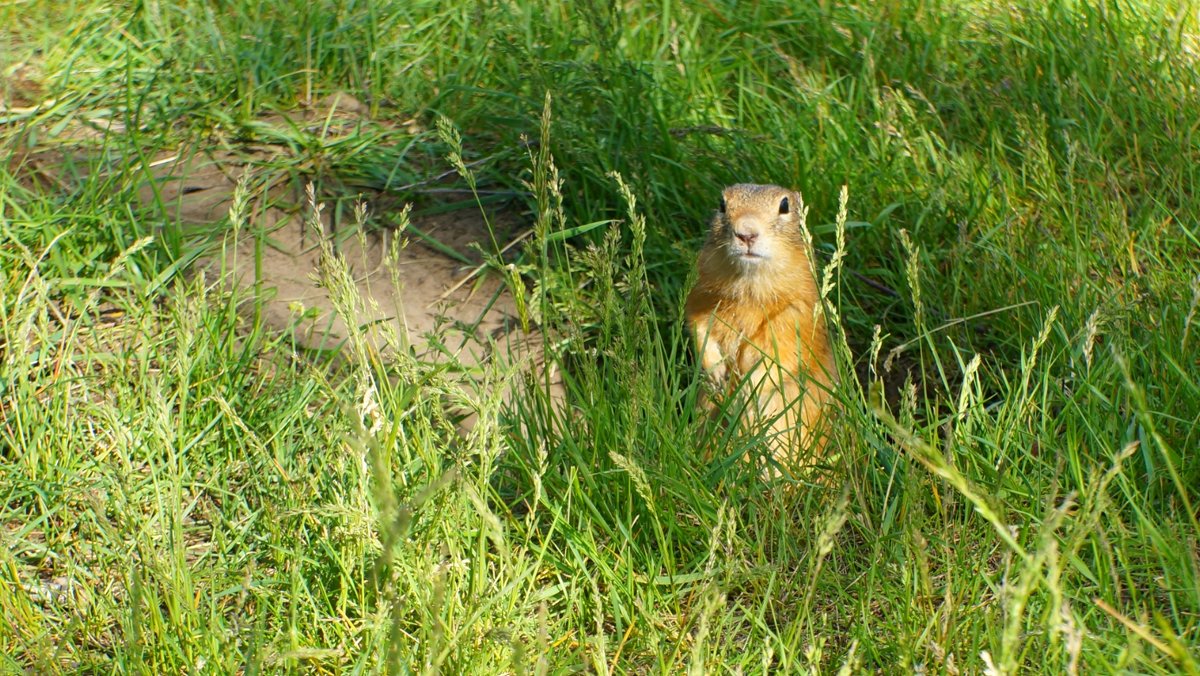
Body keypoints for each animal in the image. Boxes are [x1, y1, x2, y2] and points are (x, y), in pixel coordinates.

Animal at [686, 182, 835, 473]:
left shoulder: (794, 318)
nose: (746, 233)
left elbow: (778, 360)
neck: (750, 288)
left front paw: (743, 394)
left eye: (785, 205)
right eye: (722, 204)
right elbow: (700, 331)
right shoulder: (701, 301)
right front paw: (717, 375)